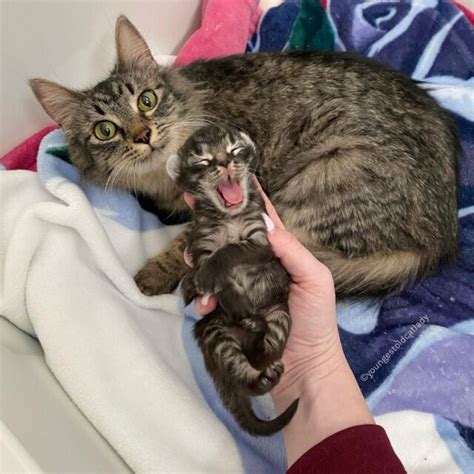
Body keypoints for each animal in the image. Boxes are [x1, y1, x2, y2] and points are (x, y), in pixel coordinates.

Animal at [30, 16, 460, 298]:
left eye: (146, 101)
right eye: (105, 130)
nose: (142, 135)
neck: (160, 177)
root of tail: (443, 236)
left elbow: (185, 243)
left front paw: (155, 275)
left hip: (321, 176)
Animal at [168, 124, 298, 436]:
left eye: (234, 150)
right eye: (203, 161)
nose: (224, 163)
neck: (228, 217)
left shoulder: (262, 239)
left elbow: (231, 250)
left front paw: (209, 275)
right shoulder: (201, 243)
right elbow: (215, 269)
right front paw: (222, 291)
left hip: (279, 314)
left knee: (262, 354)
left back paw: (257, 334)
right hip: (214, 332)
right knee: (245, 374)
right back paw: (259, 370)